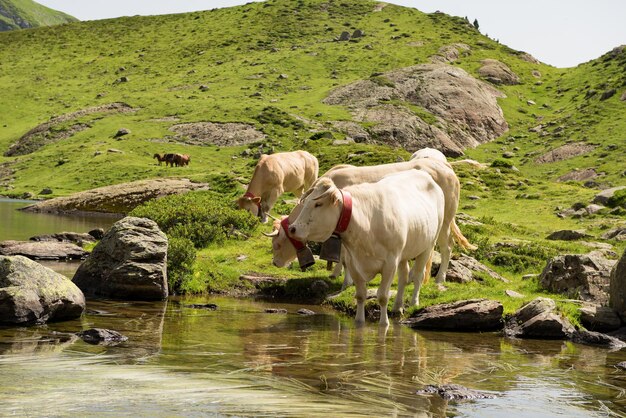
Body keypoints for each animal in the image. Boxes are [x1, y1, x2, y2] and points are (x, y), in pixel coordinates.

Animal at [288, 170, 444, 326]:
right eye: (306, 202)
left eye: (318, 204)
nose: (292, 228)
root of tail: (422, 173)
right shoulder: (353, 263)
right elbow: (360, 295)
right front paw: (359, 322)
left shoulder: (390, 263)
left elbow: (382, 296)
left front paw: (384, 324)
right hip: (404, 254)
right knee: (403, 276)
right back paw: (397, 307)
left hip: (429, 244)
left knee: (418, 275)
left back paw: (413, 303)